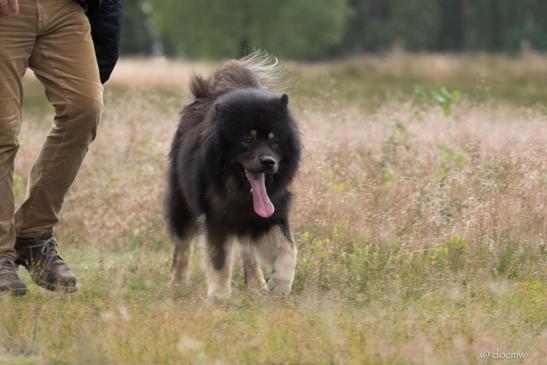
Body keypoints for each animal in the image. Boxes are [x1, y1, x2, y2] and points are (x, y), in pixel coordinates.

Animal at [166, 52, 302, 298]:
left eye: (274, 140)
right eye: (247, 140)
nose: (269, 162)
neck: (241, 191)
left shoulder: (274, 211)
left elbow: (288, 250)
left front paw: (280, 287)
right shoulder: (215, 215)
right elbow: (218, 260)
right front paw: (219, 297)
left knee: (248, 250)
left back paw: (257, 286)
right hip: (182, 201)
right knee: (182, 244)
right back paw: (177, 284)